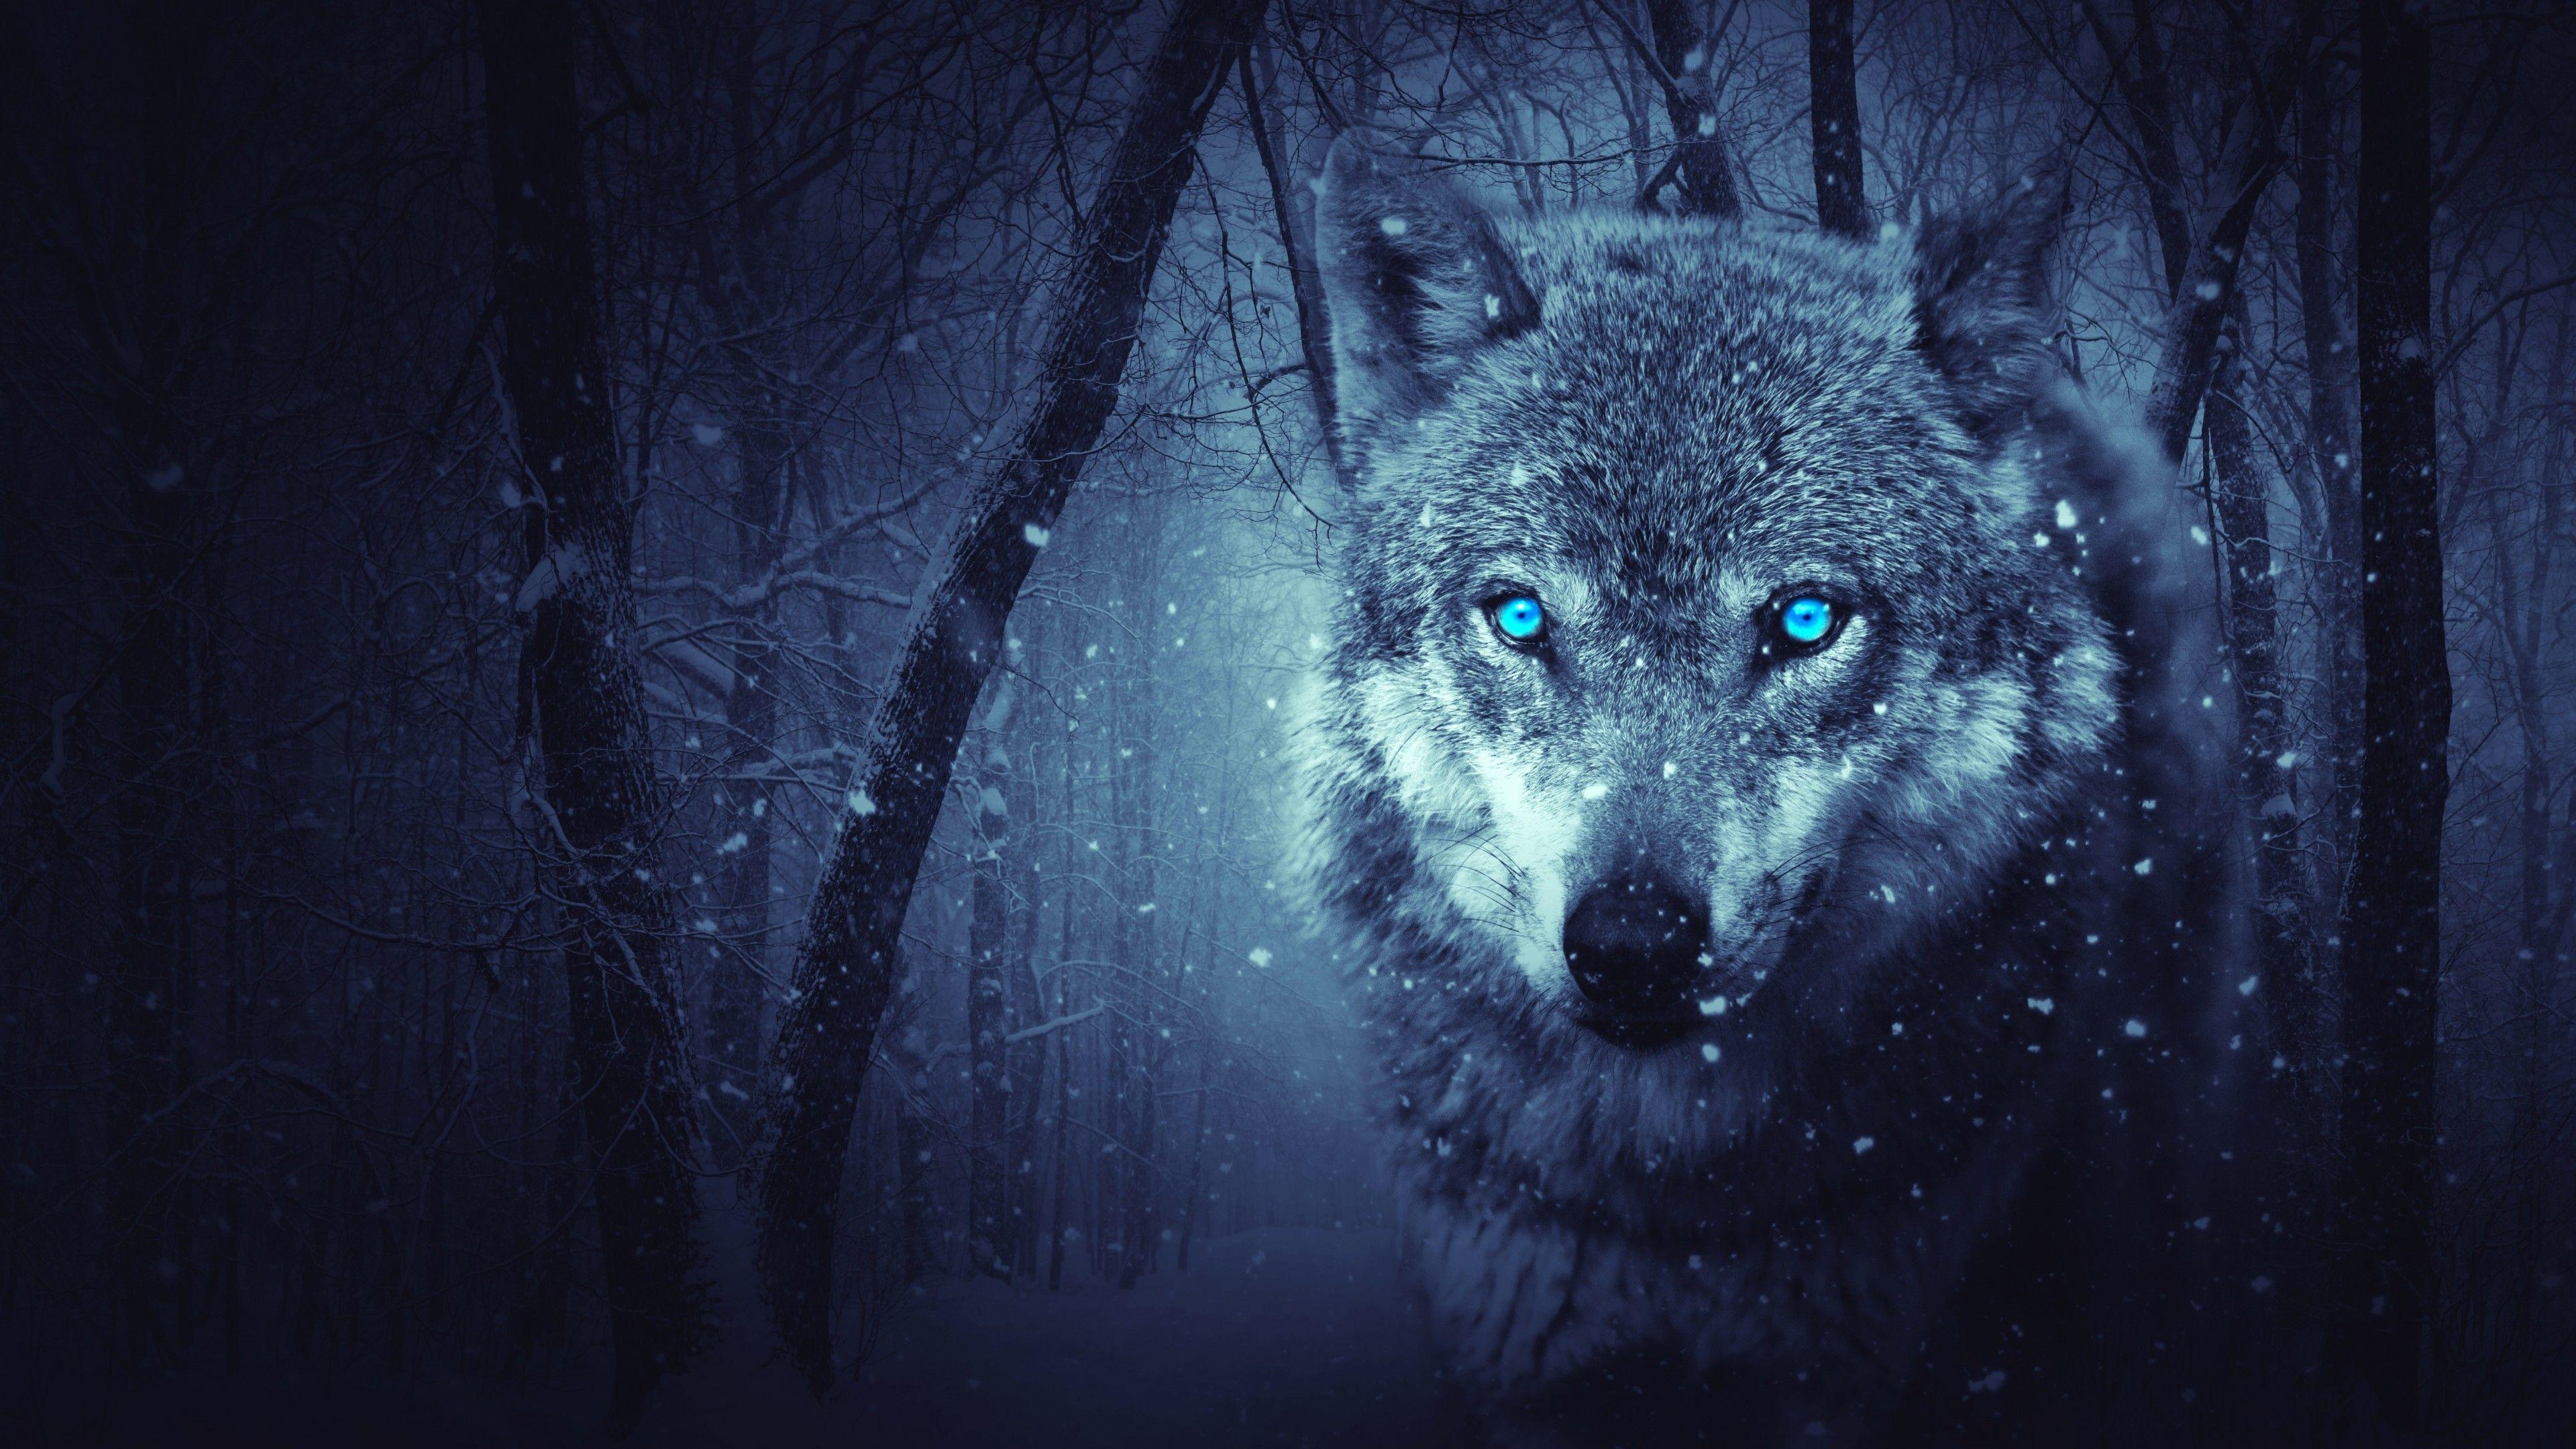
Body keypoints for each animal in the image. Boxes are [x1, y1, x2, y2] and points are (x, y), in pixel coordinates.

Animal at [1289, 138, 2273, 1446]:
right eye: (1521, 617)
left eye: (1805, 620)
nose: (1634, 945)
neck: (1675, 1206)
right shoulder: (1525, 1370)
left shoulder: (1851, 1376)